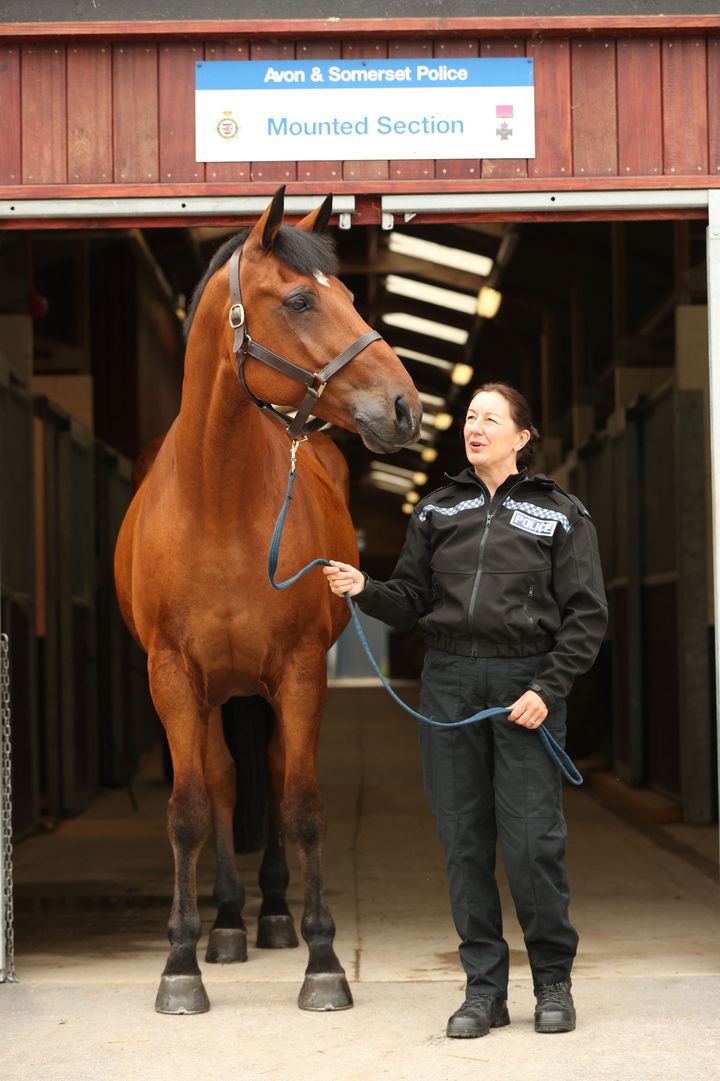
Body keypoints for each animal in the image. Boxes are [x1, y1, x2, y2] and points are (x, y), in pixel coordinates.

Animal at [112, 188, 421, 1011]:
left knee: (275, 775)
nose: (405, 407)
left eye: (350, 295)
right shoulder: (171, 676)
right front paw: (180, 965)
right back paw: (226, 923)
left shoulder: (301, 671)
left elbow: (301, 806)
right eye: (301, 300)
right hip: (218, 689)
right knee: (223, 783)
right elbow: (189, 810)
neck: (218, 501)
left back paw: (275, 914)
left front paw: (323, 962)